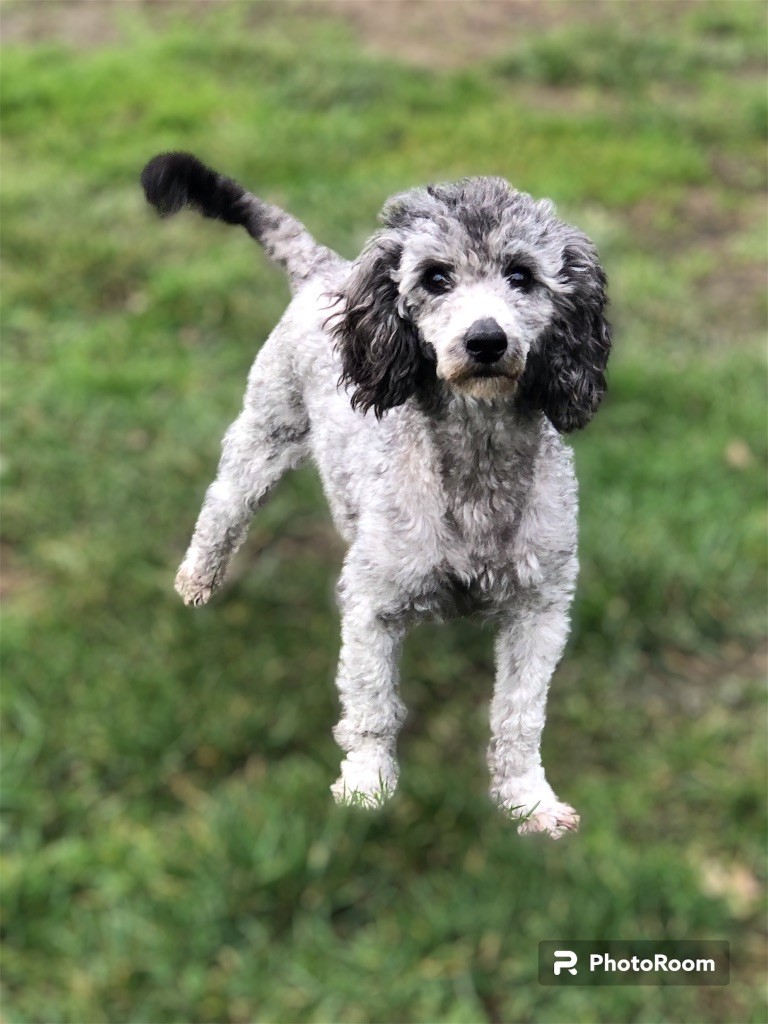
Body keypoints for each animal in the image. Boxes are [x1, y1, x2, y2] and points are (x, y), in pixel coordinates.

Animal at [140, 153, 614, 839]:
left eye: (522, 275)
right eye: (436, 277)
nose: (486, 341)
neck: (474, 475)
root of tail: (328, 269)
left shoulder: (542, 606)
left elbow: (519, 717)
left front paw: (528, 801)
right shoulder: (373, 605)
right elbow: (371, 704)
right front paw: (367, 785)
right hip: (262, 433)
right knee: (221, 508)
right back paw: (197, 579)